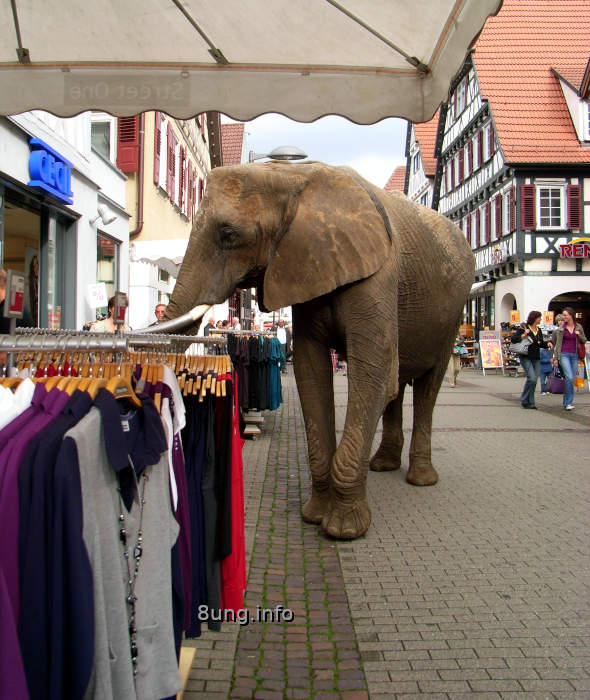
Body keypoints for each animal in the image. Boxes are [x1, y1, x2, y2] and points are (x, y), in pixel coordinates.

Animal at [162, 160, 476, 540]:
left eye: (228, 234)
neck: (293, 176)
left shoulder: (377, 275)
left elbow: (371, 370)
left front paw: (344, 529)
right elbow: (310, 370)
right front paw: (313, 515)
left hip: (453, 315)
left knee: (428, 387)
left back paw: (420, 479)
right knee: (397, 385)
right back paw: (383, 465)